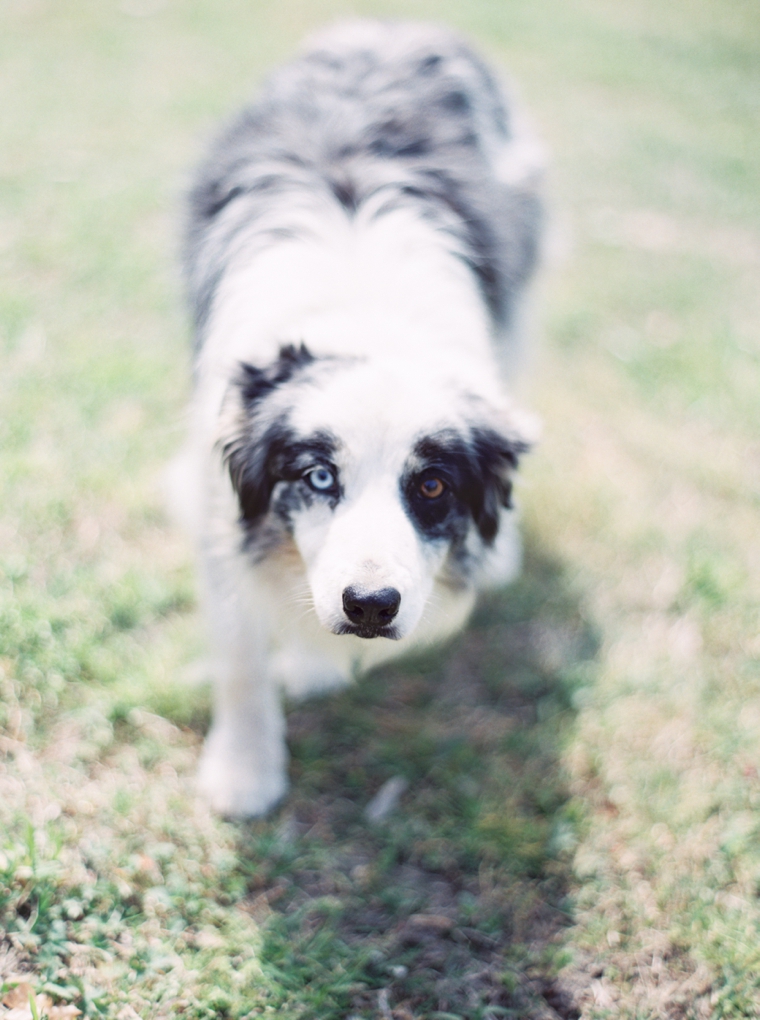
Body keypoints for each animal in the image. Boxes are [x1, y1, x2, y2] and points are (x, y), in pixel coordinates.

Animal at [176, 19, 546, 816]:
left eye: (433, 486)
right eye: (318, 476)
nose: (371, 606)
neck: (367, 321)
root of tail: (399, 24)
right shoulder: (214, 506)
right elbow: (242, 652)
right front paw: (245, 772)